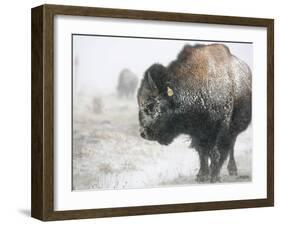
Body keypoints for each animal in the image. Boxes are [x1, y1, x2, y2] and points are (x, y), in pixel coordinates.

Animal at [137, 43, 250, 183]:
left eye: (150, 105)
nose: (143, 133)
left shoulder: (220, 128)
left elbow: (218, 151)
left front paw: (215, 177)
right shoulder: (198, 132)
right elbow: (202, 152)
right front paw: (202, 176)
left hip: (235, 128)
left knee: (231, 146)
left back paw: (232, 170)